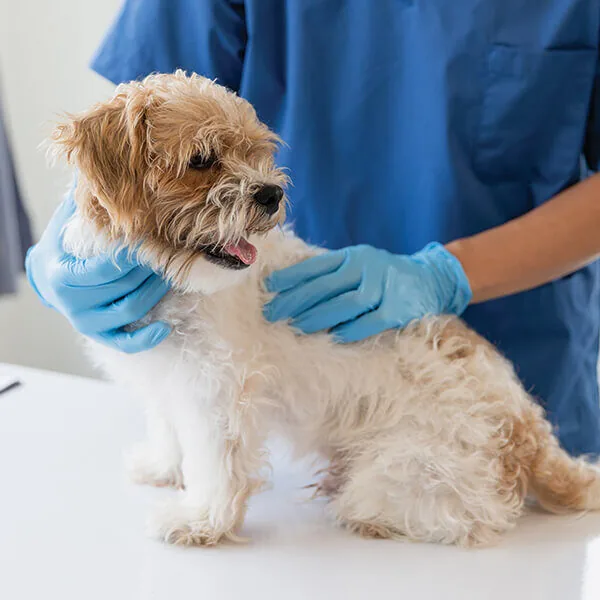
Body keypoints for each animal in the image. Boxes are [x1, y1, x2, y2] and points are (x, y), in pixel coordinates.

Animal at [52, 71, 600, 548]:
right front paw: (163, 469)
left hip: (400, 476)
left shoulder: (219, 392)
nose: (271, 193)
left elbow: (217, 466)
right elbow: (169, 429)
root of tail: (530, 434)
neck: (174, 281)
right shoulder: (167, 376)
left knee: (468, 518)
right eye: (202, 159)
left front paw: (201, 521)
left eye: (256, 153)